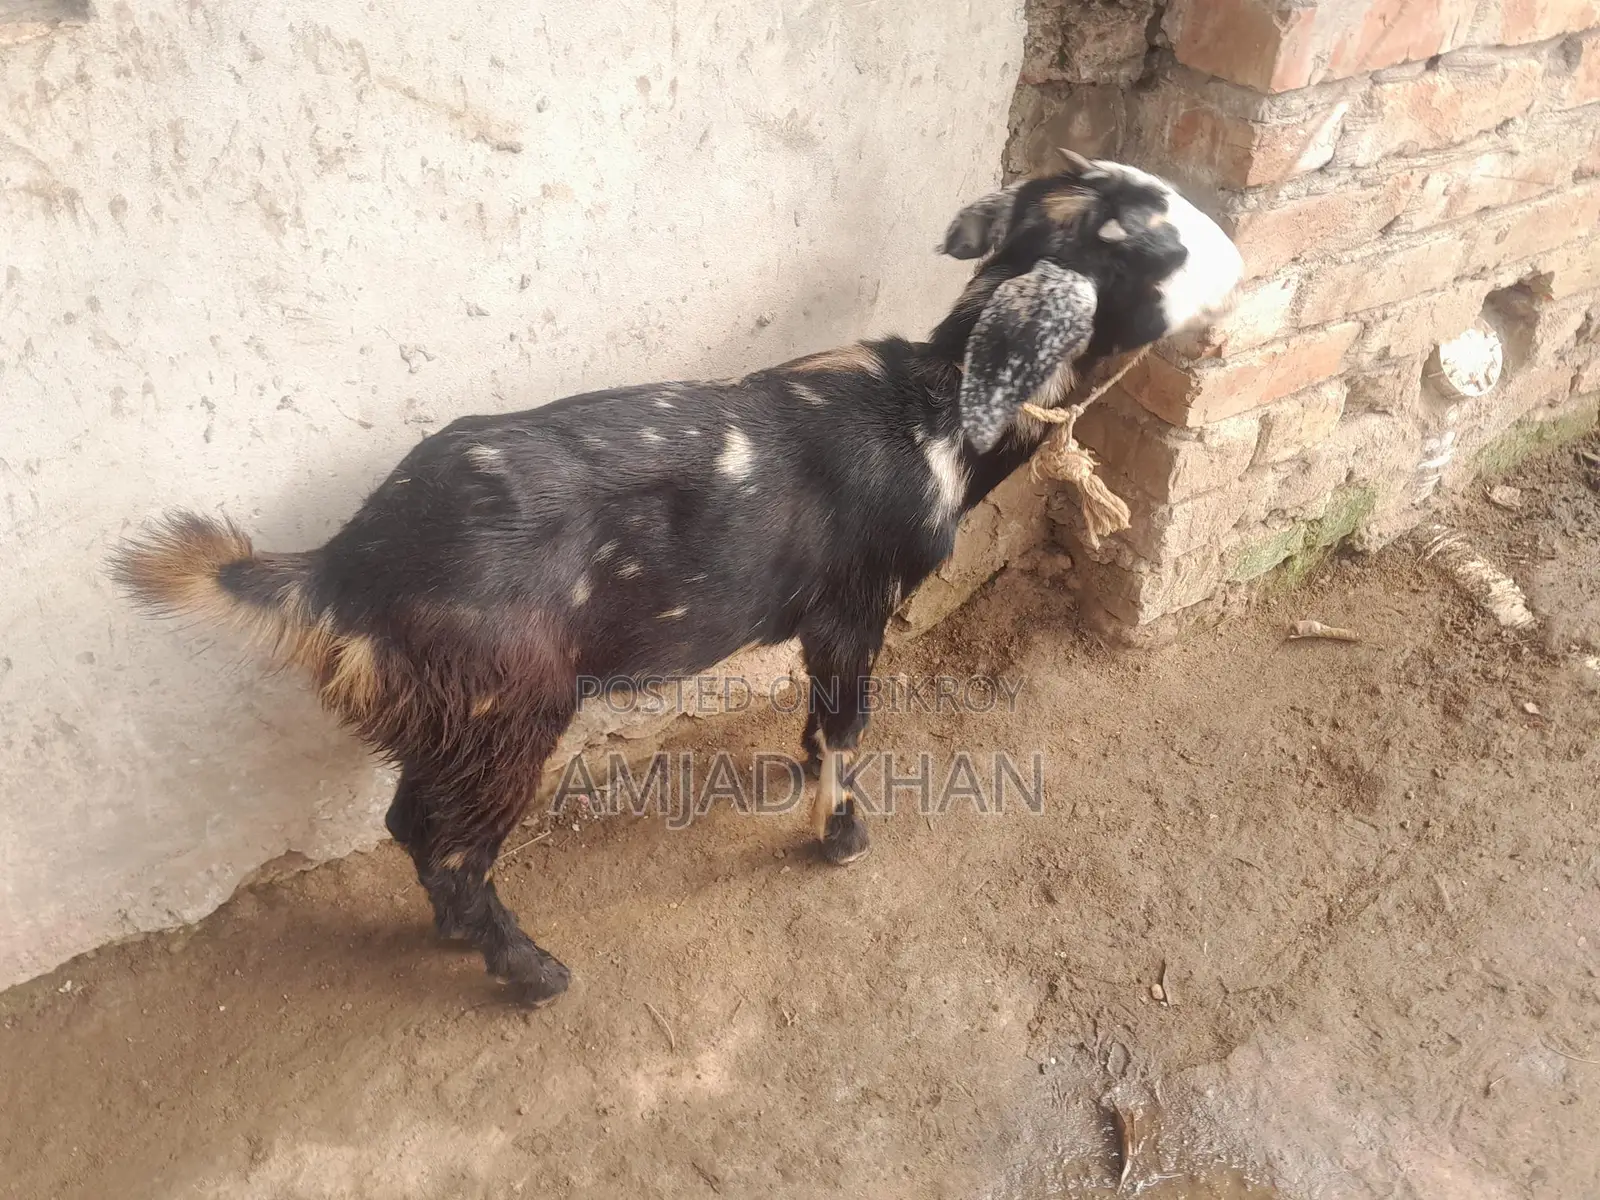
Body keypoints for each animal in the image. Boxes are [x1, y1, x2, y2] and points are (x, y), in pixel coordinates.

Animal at [110, 155, 1242, 1007]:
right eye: (1157, 241)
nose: (1232, 250)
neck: (932, 413)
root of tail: (341, 570)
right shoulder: (855, 609)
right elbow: (850, 723)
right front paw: (840, 836)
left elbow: (819, 718)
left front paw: (798, 772)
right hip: (509, 707)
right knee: (444, 844)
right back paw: (529, 971)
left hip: (450, 716)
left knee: (409, 825)